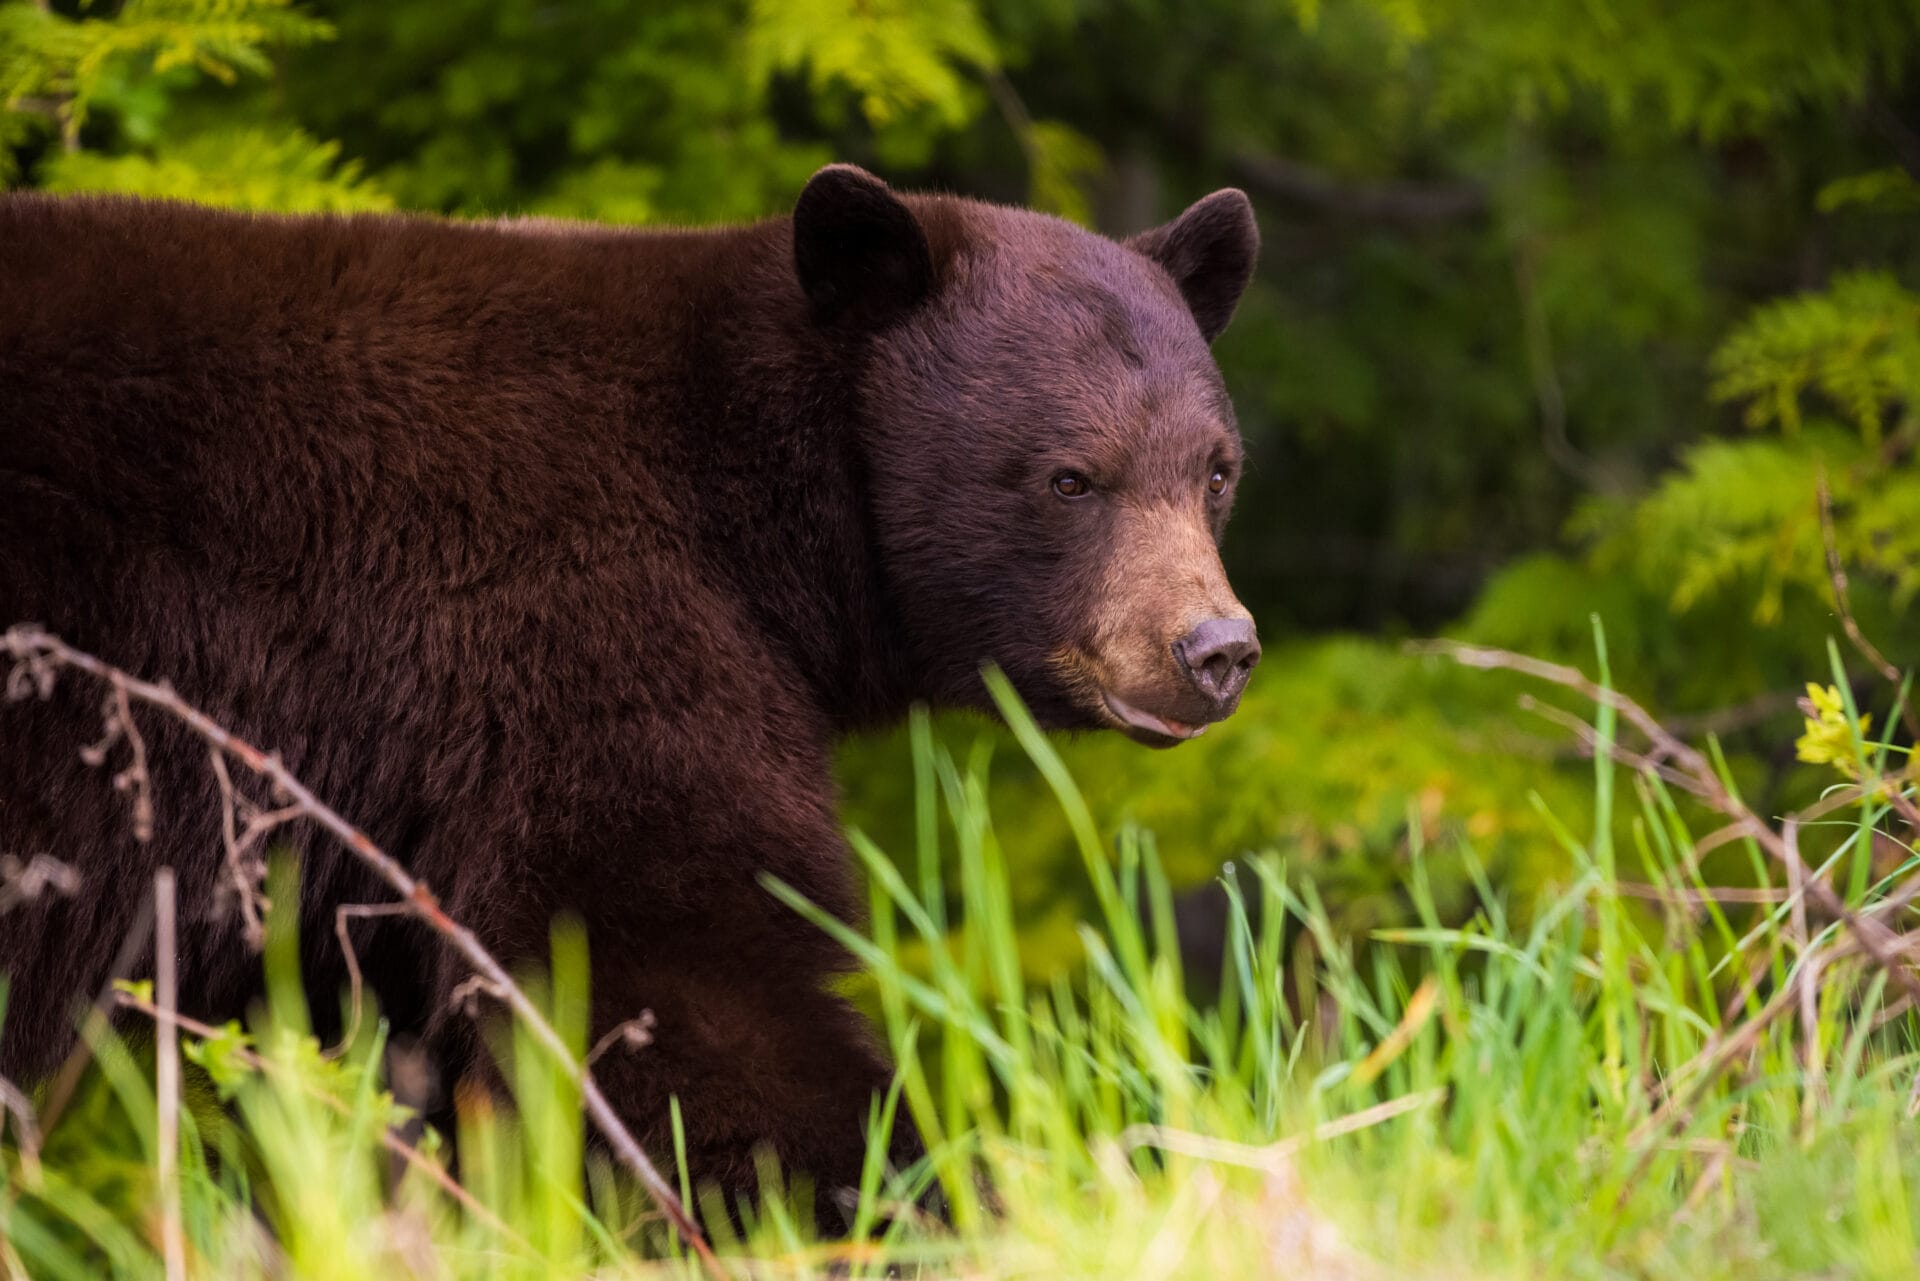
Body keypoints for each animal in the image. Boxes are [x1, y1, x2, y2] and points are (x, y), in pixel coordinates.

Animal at [0, 165, 1267, 1221]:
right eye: (1070, 478)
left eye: (1215, 469)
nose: (1216, 649)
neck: (747, 500)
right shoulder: (565, 619)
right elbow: (667, 962)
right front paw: (905, 1203)